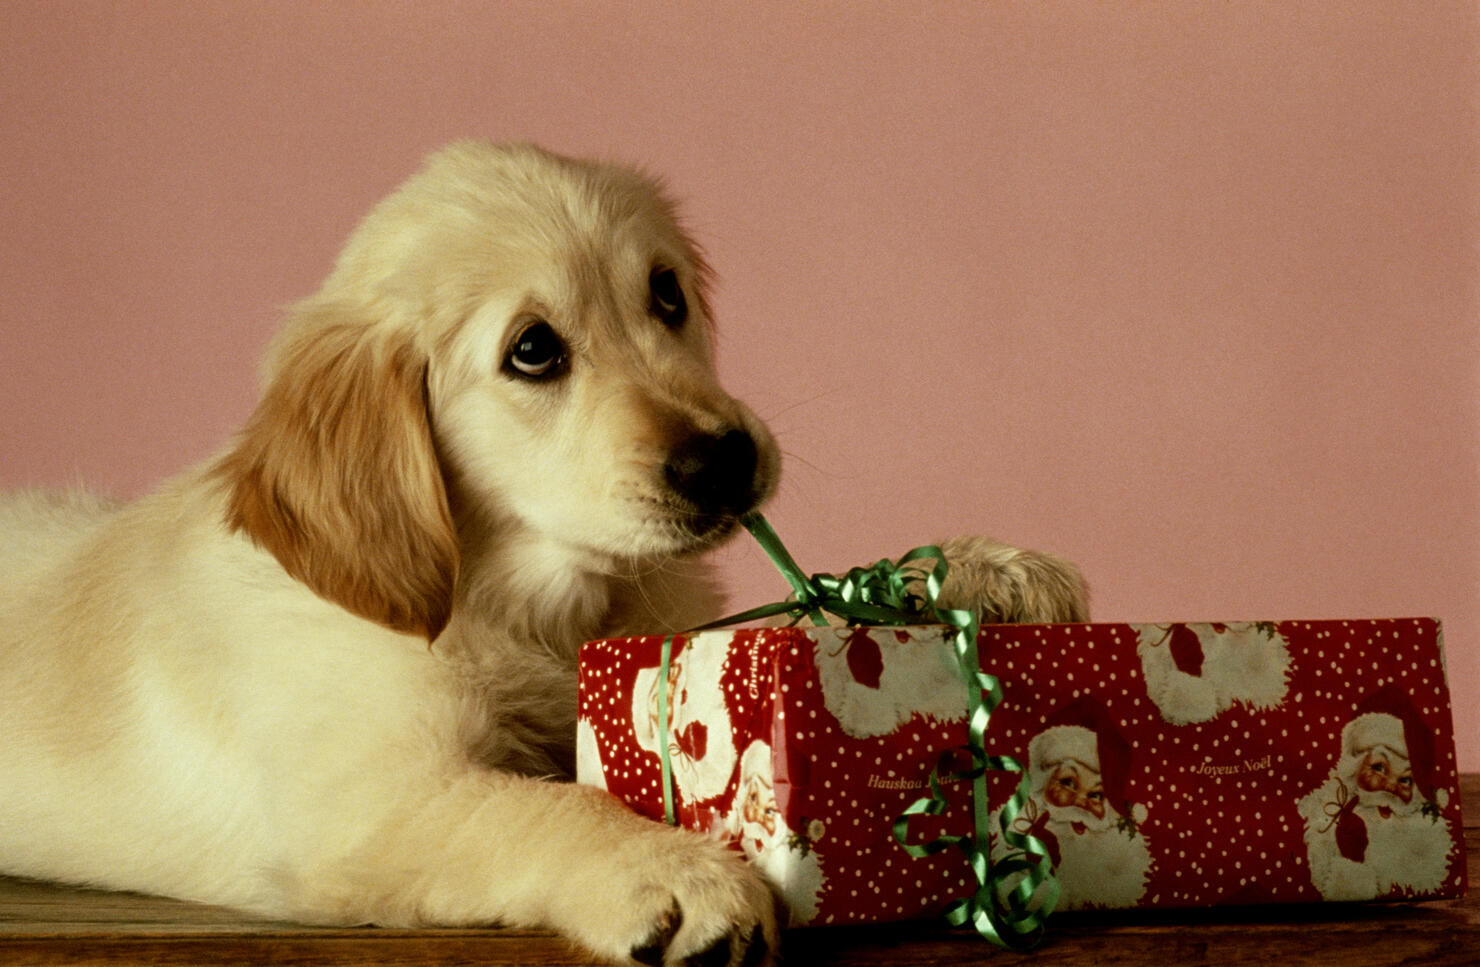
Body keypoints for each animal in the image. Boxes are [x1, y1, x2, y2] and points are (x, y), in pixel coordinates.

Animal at [0, 139, 1089, 959]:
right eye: (533, 350)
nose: (725, 461)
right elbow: (535, 807)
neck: (523, 598)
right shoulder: (370, 801)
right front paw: (674, 870)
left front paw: (979, 570)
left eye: (666, 295)